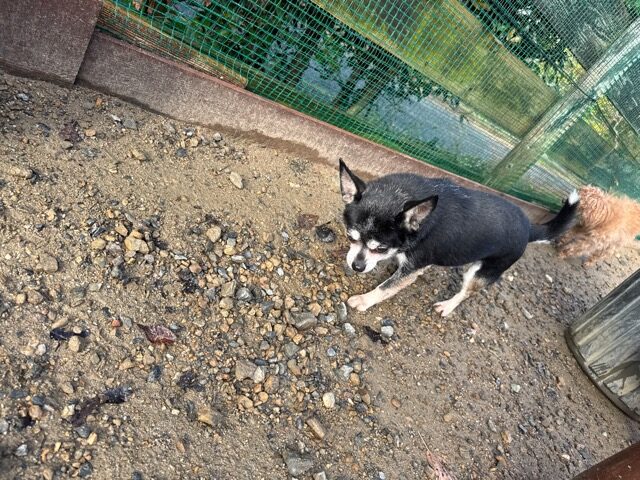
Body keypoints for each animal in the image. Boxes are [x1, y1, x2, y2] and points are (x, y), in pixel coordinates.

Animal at [339, 160, 579, 316]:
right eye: (350, 237)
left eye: (380, 248)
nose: (356, 266)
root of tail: (529, 227)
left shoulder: (413, 267)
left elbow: (386, 288)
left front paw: (364, 300)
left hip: (482, 272)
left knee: (466, 293)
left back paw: (448, 305)